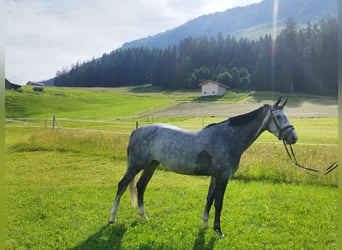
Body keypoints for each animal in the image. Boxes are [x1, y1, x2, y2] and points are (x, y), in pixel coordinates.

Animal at [109, 96, 296, 237]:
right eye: (279, 117)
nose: (294, 137)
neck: (229, 137)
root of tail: (136, 131)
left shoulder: (215, 176)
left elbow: (209, 199)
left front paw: (206, 224)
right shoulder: (223, 176)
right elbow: (219, 203)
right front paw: (218, 231)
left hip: (151, 165)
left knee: (141, 186)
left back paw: (143, 216)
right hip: (136, 165)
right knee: (122, 185)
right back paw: (112, 218)